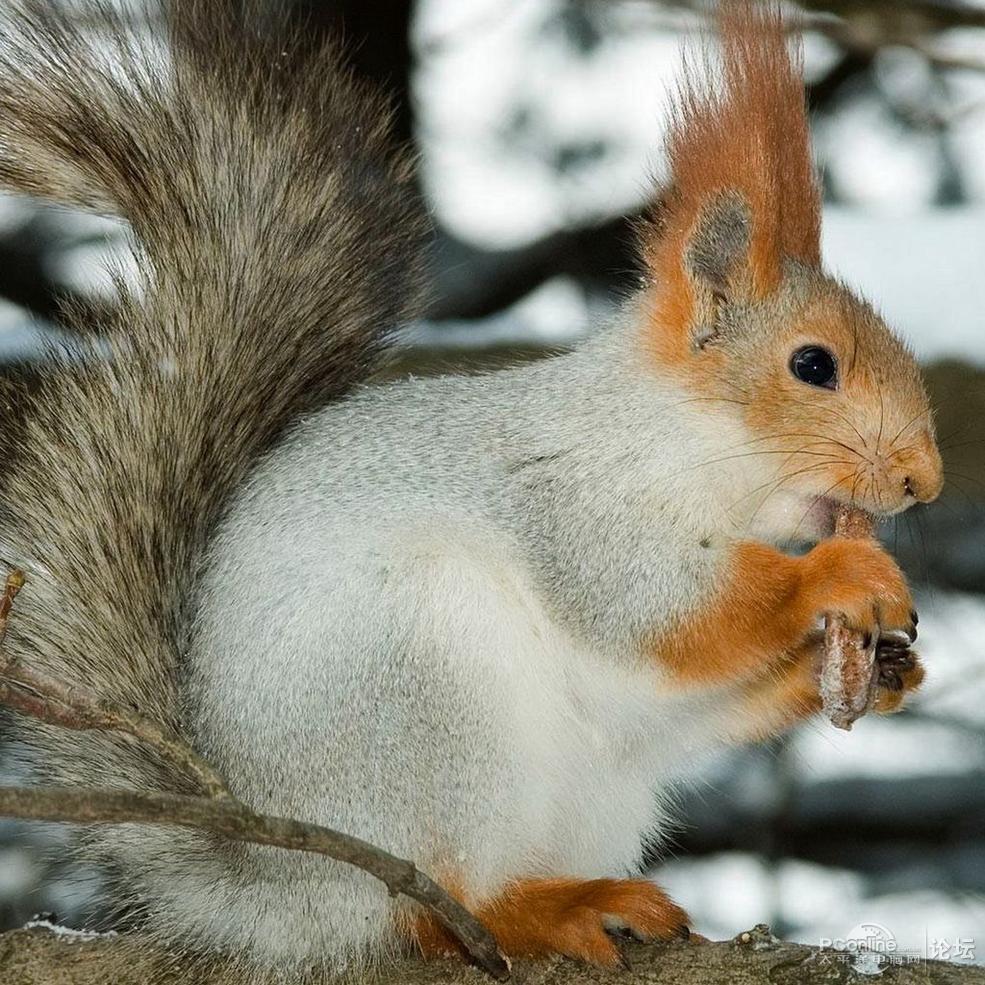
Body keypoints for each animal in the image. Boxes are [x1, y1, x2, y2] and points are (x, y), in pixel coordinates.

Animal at [0, 0, 940, 976]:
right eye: (812, 364)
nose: (925, 478)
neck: (680, 437)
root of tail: (281, 886)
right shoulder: (576, 506)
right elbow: (660, 607)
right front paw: (840, 577)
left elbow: (689, 700)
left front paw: (879, 668)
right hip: (425, 684)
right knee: (431, 908)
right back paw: (542, 910)